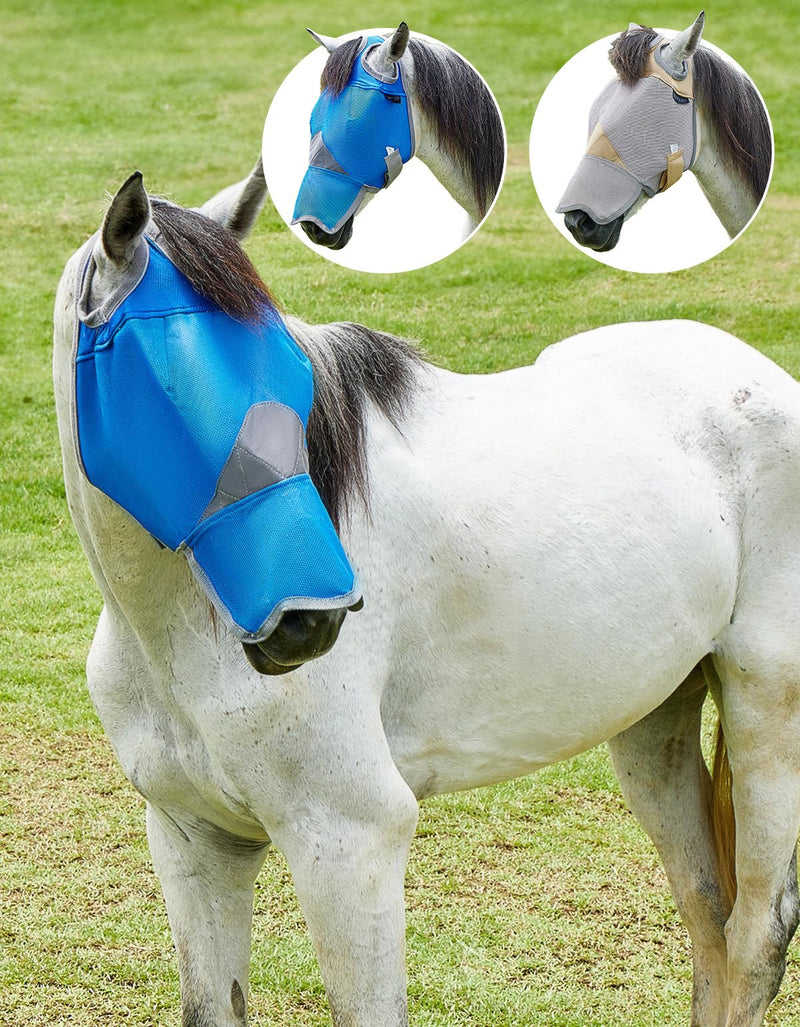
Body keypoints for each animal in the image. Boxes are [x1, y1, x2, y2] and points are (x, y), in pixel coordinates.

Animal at [54, 164, 800, 1027]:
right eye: (169, 388)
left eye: (292, 374)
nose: (308, 623)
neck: (179, 630)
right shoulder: (193, 838)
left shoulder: (351, 842)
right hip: (652, 717)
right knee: (706, 914)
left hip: (766, 706)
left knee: (754, 935)